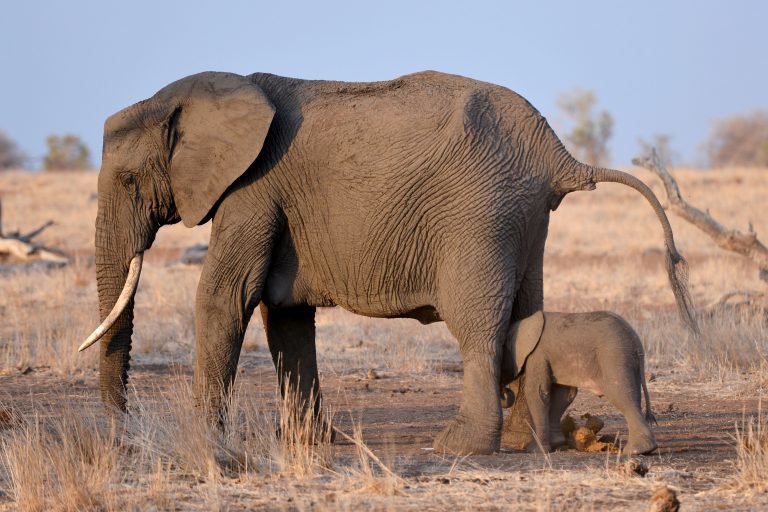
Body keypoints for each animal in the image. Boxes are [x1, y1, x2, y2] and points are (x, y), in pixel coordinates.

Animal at [500, 310, 656, 454]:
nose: (505, 392)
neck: (524, 324)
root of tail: (637, 343)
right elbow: (564, 396)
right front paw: (557, 444)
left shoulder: (537, 355)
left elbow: (537, 394)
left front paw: (536, 451)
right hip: (628, 362)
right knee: (633, 396)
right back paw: (644, 449)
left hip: (614, 357)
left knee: (621, 396)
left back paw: (636, 450)